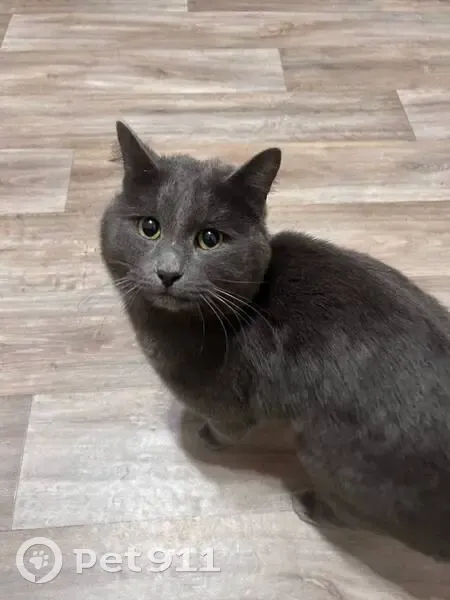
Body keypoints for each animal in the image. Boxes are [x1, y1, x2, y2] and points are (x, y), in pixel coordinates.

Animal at [100, 120, 450, 562]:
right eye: (149, 227)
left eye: (209, 239)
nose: (168, 272)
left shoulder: (231, 404)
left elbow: (226, 429)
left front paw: (205, 437)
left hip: (337, 463)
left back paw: (308, 504)